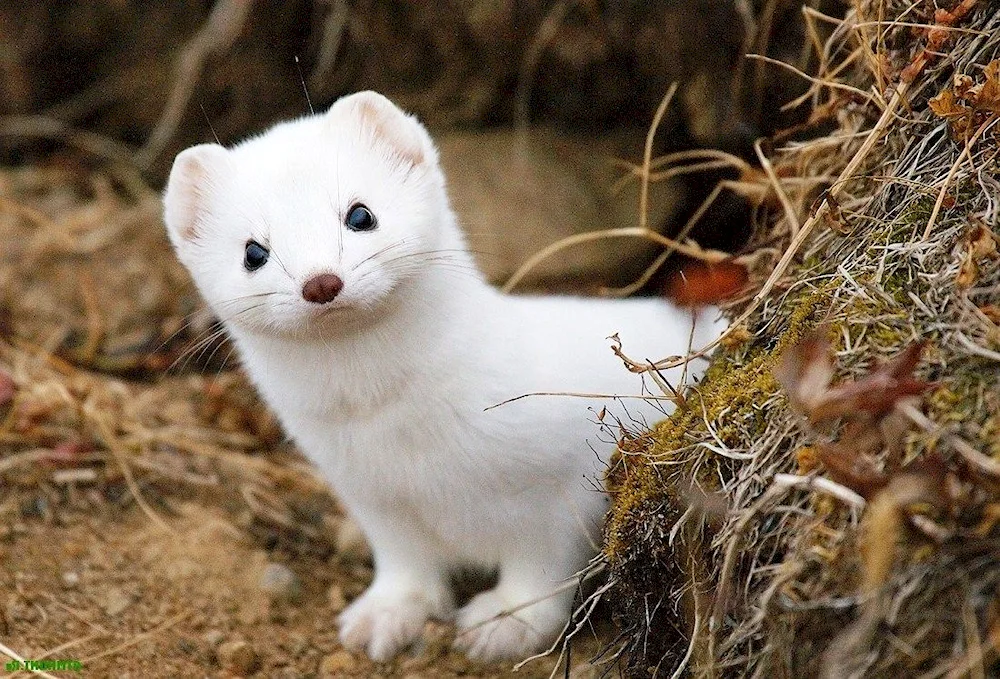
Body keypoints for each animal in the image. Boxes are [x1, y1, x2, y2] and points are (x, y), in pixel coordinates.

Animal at [162, 91, 728, 664]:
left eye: (360, 214)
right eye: (253, 251)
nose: (321, 282)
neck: (409, 443)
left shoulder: (566, 476)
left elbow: (543, 563)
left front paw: (506, 620)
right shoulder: (371, 495)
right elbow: (405, 560)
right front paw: (386, 614)